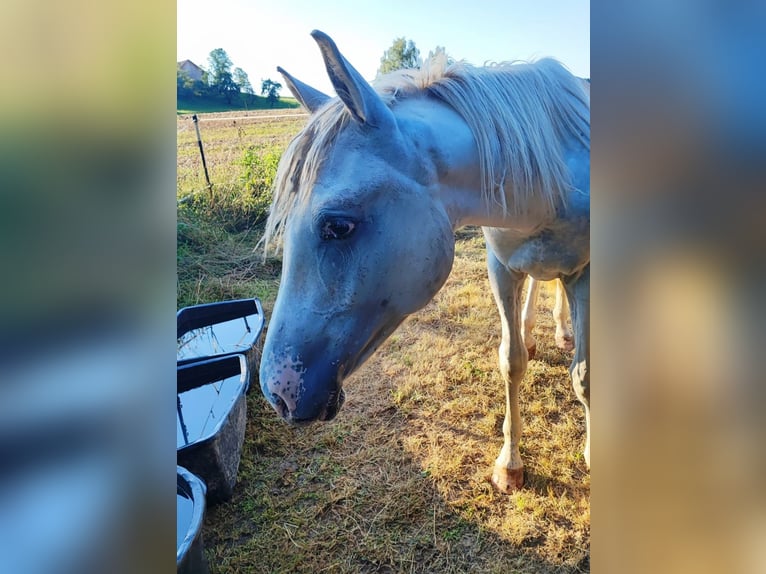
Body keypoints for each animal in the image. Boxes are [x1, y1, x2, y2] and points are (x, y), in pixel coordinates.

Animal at [260, 29, 592, 492]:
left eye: (339, 226)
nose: (278, 394)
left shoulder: (587, 274)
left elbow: (584, 377)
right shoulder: (500, 268)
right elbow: (511, 362)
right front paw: (509, 466)